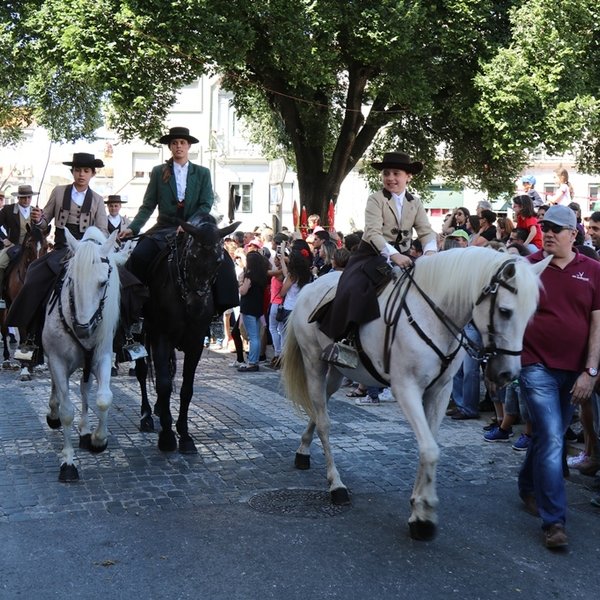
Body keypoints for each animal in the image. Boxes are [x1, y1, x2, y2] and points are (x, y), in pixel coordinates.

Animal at [42, 226, 122, 482]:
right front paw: (68, 461)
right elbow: (67, 409)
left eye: (103, 282)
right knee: (57, 389)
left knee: (85, 391)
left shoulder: (102, 357)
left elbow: (103, 398)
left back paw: (86, 429)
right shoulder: (57, 361)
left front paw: (98, 439)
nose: (82, 329)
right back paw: (53, 413)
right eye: (71, 280)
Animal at [284, 246, 552, 540]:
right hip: (314, 365)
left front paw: (418, 506)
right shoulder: (406, 389)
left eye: (532, 314)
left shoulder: (440, 392)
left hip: (337, 372)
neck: (434, 316)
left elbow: (429, 446)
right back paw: (336, 485)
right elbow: (429, 449)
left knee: (318, 410)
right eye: (505, 311)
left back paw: (303, 451)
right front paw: (424, 515)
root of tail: (310, 286)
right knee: (323, 421)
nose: (508, 374)